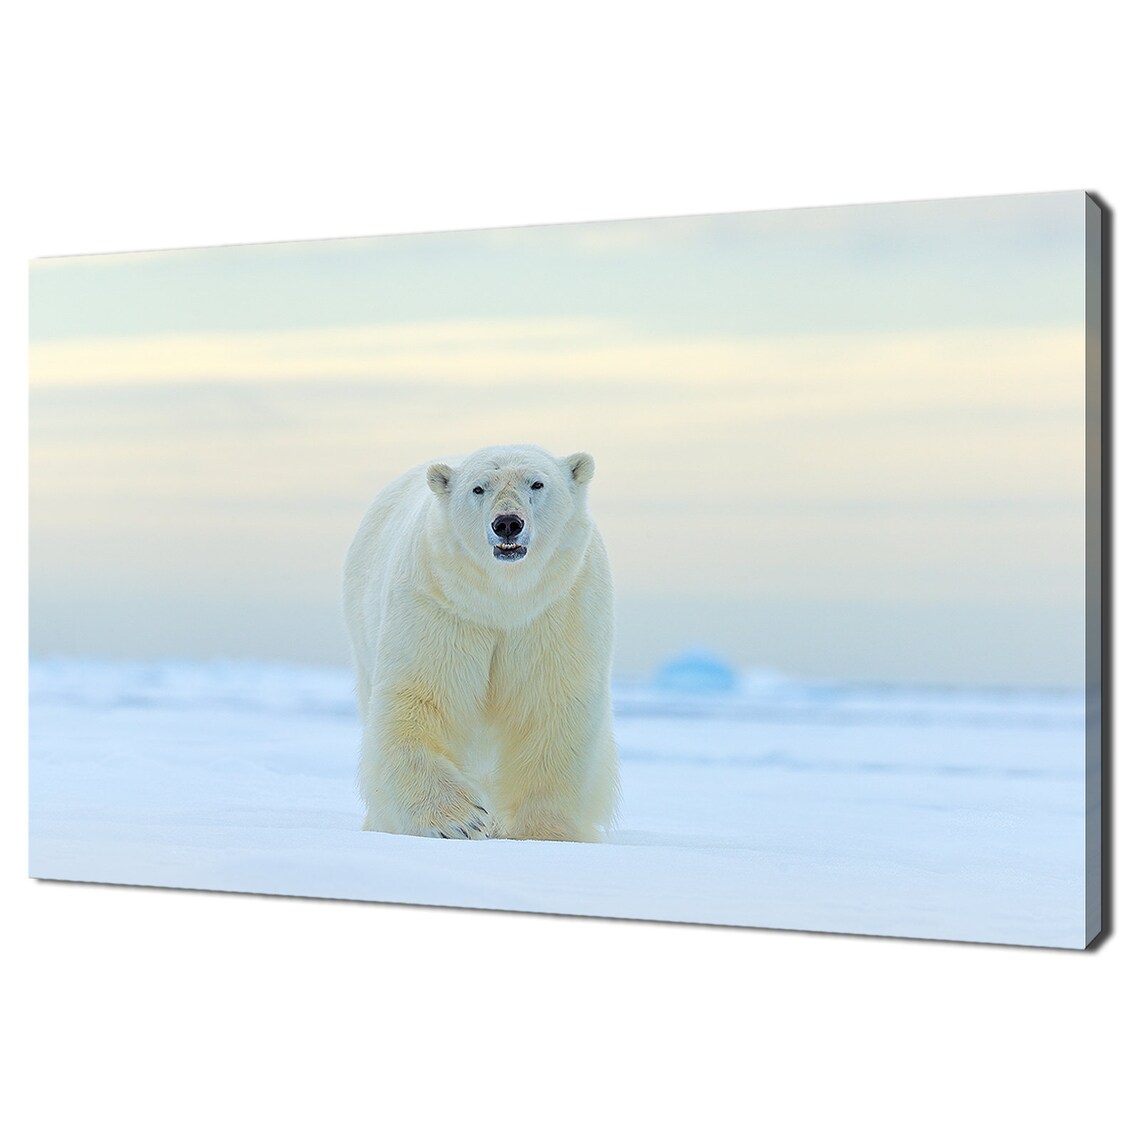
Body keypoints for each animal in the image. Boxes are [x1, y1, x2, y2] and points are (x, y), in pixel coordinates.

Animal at [343, 444, 620, 842]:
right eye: (478, 488)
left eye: (537, 483)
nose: (507, 523)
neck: (502, 600)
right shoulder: (442, 604)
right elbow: (422, 696)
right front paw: (459, 820)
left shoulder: (557, 609)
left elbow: (550, 705)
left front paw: (544, 832)